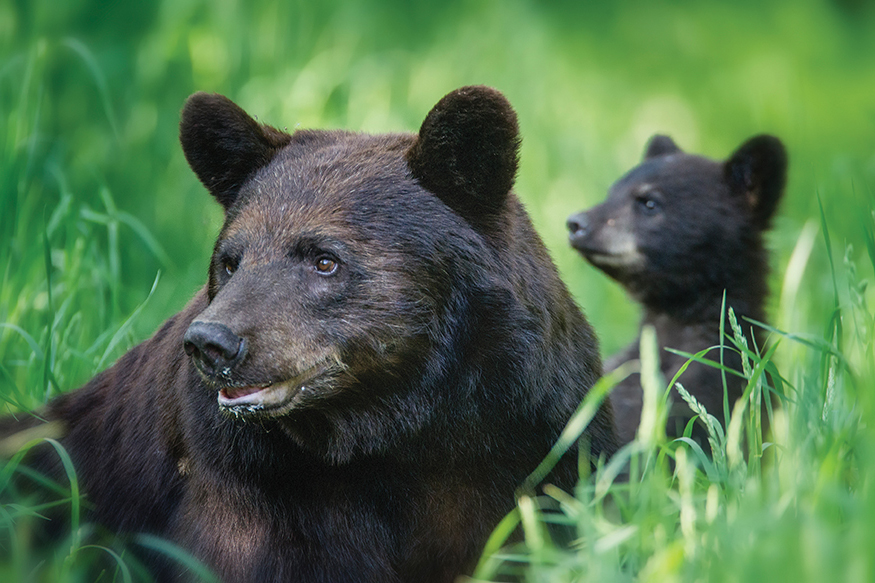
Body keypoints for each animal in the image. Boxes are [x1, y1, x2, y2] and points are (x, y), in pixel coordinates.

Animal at [1, 86, 616, 583]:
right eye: (230, 262)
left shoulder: (541, 441)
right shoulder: (254, 492)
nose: (212, 343)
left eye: (324, 260)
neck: (398, 433)